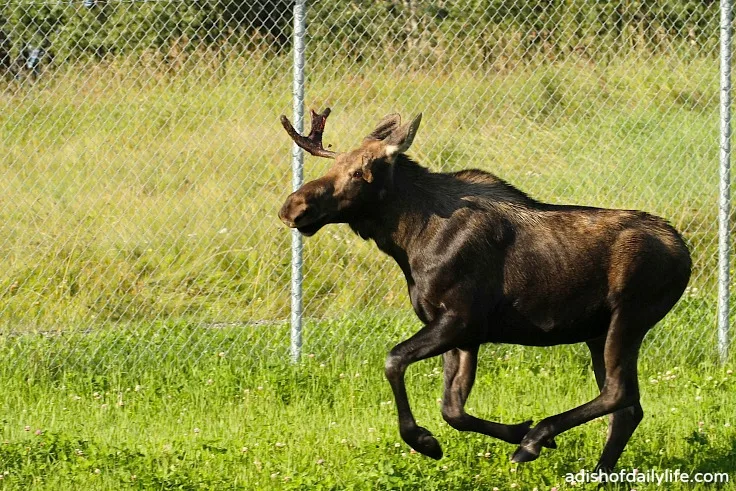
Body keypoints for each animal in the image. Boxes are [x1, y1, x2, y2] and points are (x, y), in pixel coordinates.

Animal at [278, 108, 692, 472]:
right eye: (332, 165)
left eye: (360, 172)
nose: (292, 207)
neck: (406, 242)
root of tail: (684, 254)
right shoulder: (463, 334)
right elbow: (453, 409)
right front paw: (511, 430)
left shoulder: (460, 319)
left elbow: (394, 360)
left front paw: (425, 441)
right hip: (597, 331)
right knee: (628, 407)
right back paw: (594, 469)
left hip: (630, 316)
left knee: (620, 393)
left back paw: (537, 441)